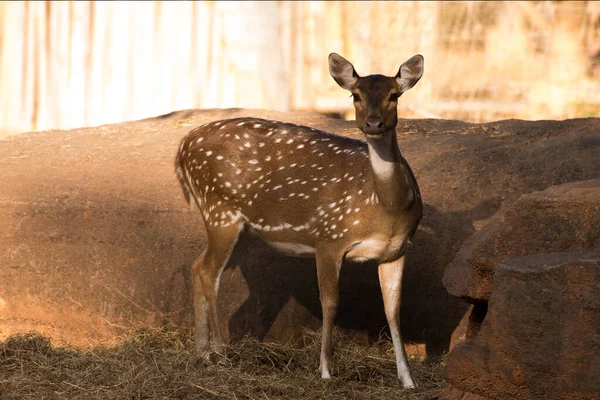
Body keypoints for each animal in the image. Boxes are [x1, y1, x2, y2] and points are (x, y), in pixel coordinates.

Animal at [176, 52, 424, 388]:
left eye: (394, 95)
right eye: (355, 95)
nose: (374, 123)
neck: (386, 208)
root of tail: (182, 149)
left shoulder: (396, 250)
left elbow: (393, 310)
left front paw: (407, 379)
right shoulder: (329, 237)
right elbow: (330, 303)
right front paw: (325, 371)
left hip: (242, 228)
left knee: (196, 265)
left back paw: (202, 352)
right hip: (219, 210)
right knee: (207, 272)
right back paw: (219, 352)